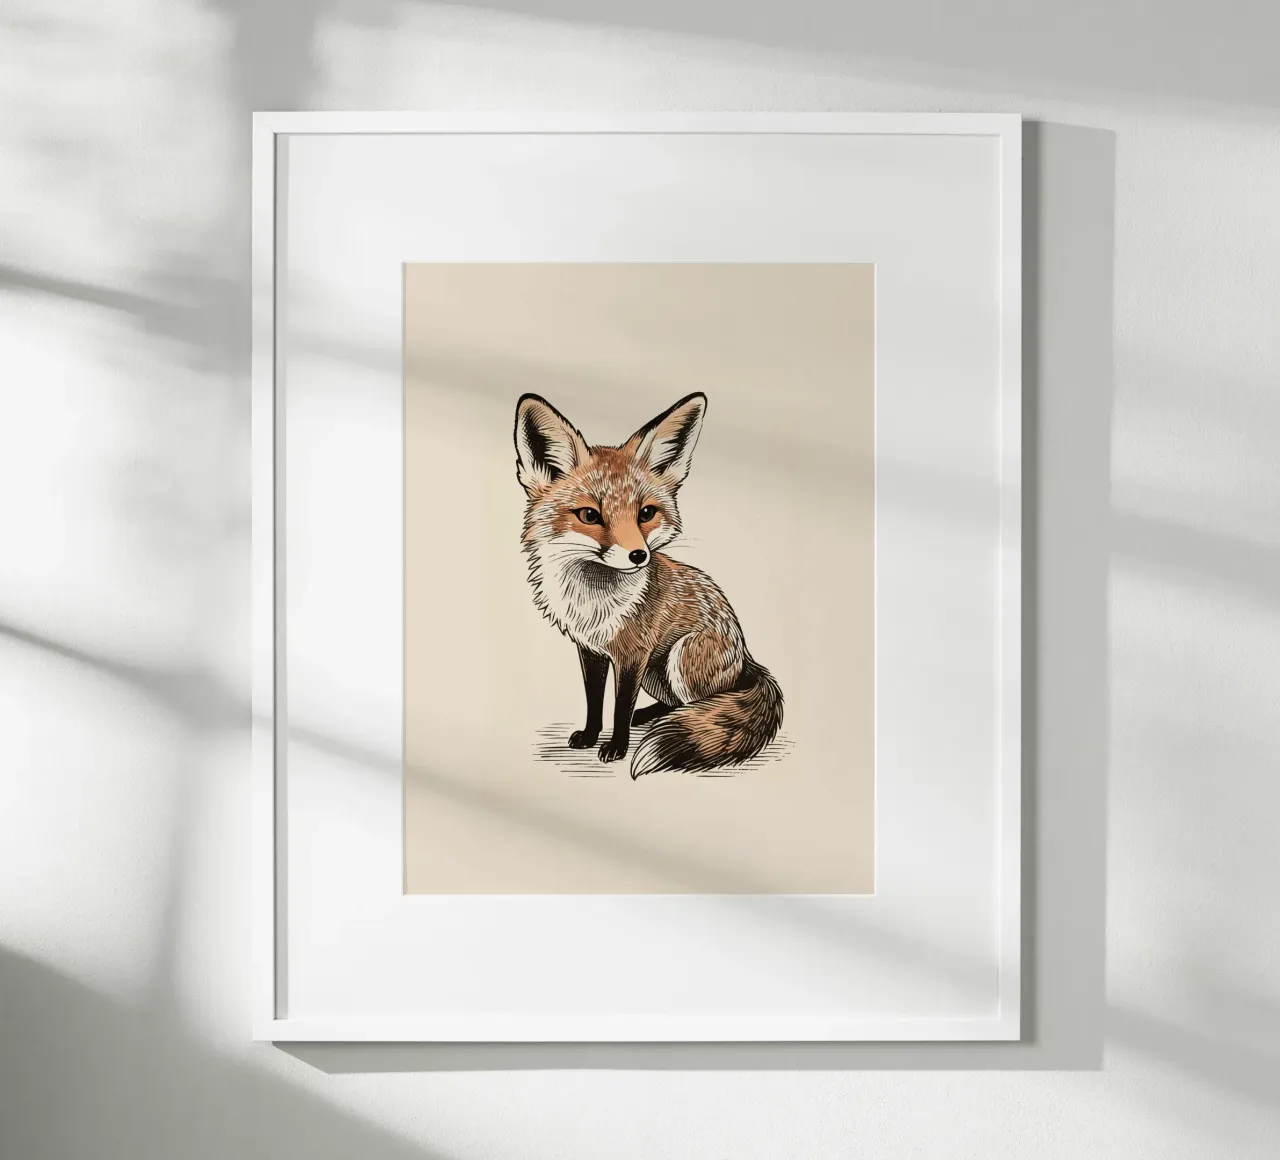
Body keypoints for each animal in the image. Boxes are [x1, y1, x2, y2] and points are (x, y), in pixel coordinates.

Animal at [514, 391, 783, 779]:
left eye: (646, 513)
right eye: (590, 515)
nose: (638, 555)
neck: (593, 601)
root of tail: (746, 657)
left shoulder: (634, 653)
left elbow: (620, 706)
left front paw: (616, 747)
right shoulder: (591, 650)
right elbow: (594, 700)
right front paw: (591, 736)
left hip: (680, 657)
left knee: (704, 706)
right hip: (659, 674)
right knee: (677, 704)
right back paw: (652, 716)